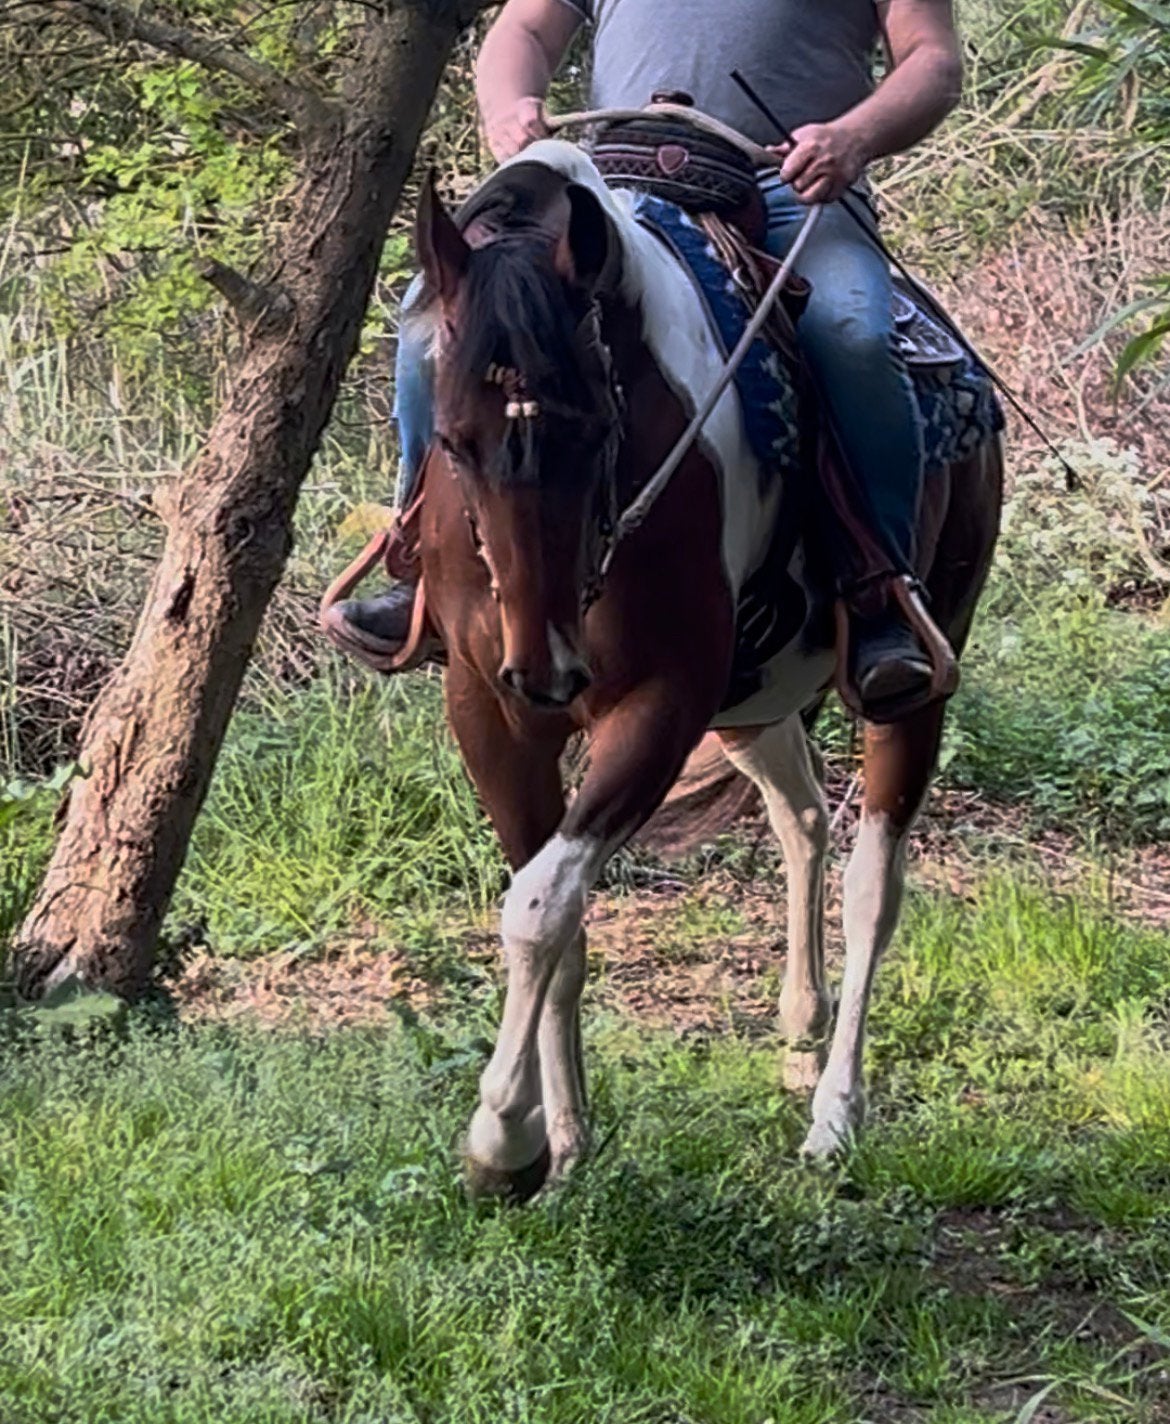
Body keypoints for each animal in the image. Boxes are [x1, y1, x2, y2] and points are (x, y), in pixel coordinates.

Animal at [407, 138, 1003, 1197]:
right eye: (452, 440)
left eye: (594, 427)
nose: (545, 670)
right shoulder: (489, 709)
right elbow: (554, 915)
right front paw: (564, 1140)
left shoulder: (660, 705)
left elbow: (541, 906)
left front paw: (502, 1140)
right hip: (754, 706)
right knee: (802, 817)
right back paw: (800, 1028)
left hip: (917, 677)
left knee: (873, 885)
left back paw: (835, 1113)